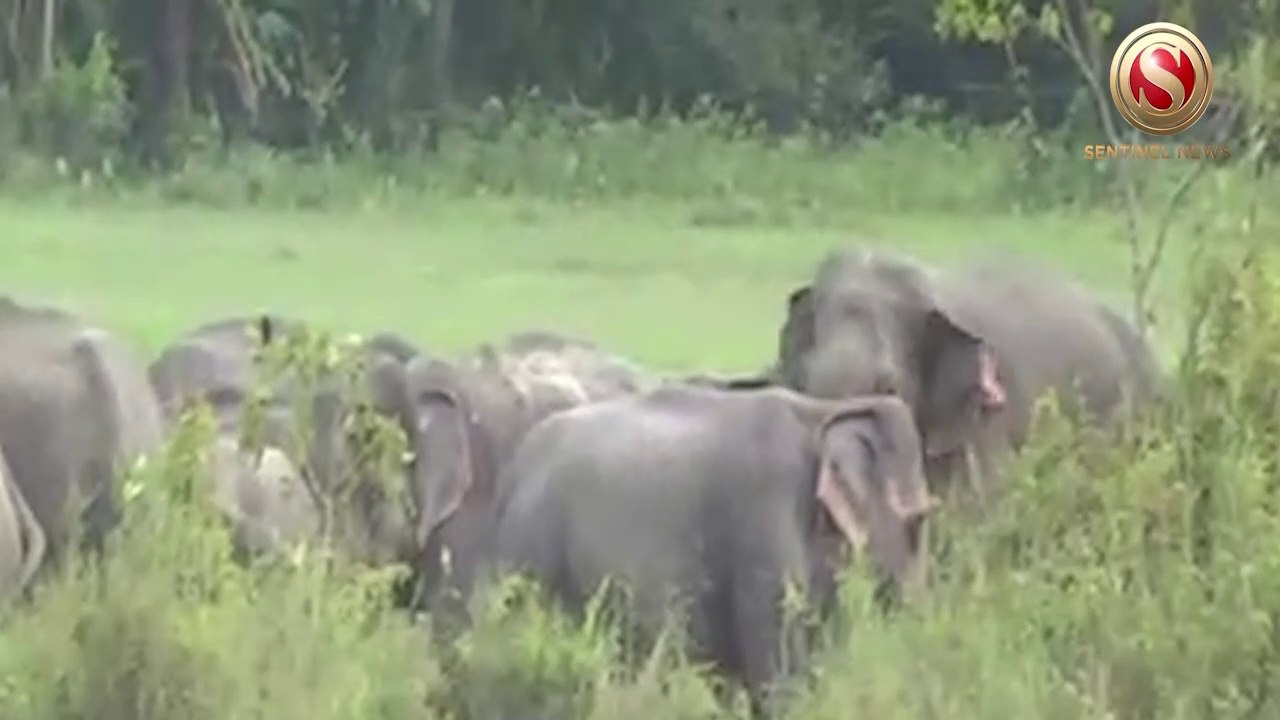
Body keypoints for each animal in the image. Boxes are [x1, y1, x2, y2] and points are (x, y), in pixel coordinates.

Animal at [489, 384, 934, 715]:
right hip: (531, 552)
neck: (825, 410)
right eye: (919, 523)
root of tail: (513, 469)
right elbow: (777, 667)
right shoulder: (762, 515)